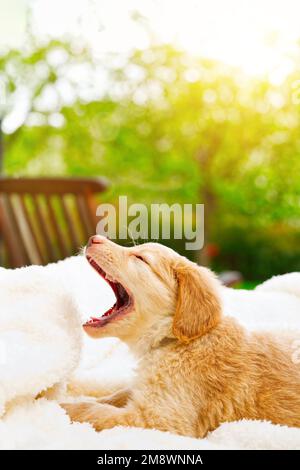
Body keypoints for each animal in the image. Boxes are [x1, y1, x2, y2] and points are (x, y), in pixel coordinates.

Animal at [62, 237, 300, 438]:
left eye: (140, 258)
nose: (94, 238)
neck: (173, 339)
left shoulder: (157, 420)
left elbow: (95, 412)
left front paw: (63, 408)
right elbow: (117, 394)